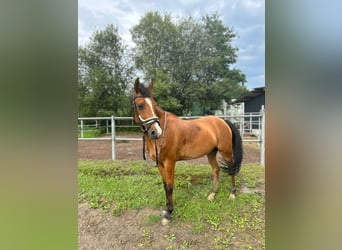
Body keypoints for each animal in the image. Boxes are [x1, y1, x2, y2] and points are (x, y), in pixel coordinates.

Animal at [132, 77, 243, 225]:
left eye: (154, 105)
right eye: (140, 105)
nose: (156, 132)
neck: (164, 131)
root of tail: (222, 121)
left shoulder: (170, 163)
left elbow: (169, 187)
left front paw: (169, 214)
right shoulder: (160, 164)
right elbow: (165, 185)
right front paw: (166, 209)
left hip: (226, 152)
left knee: (231, 170)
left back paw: (232, 194)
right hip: (211, 153)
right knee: (216, 169)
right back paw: (213, 194)